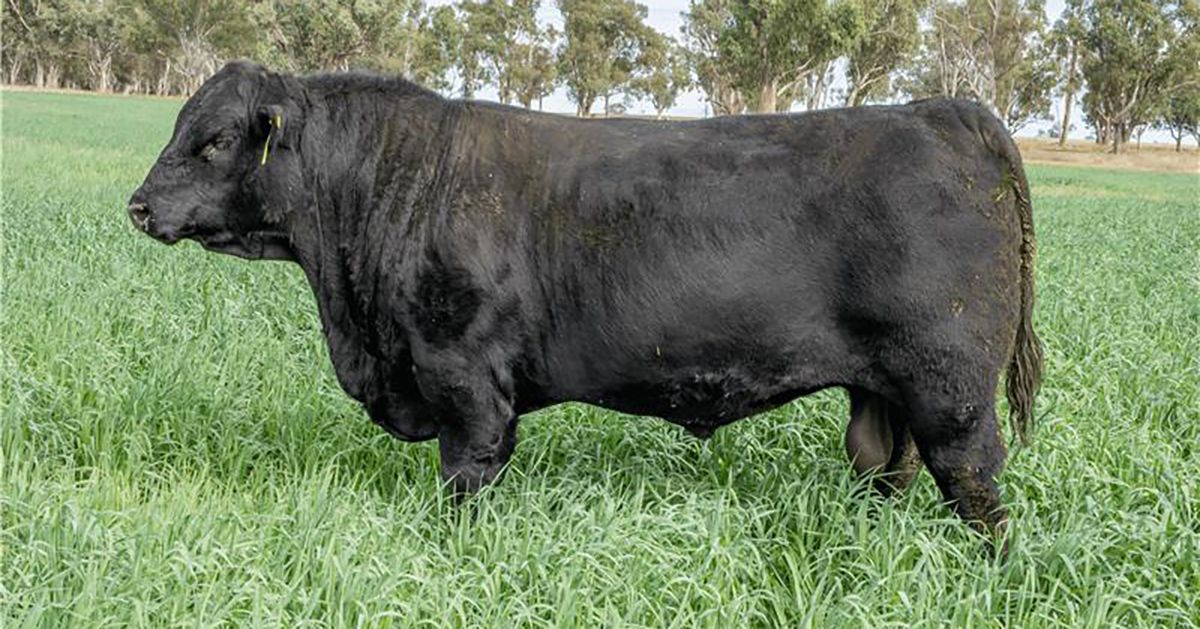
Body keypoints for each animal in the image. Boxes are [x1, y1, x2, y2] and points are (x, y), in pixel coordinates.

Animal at [129, 61, 1043, 549]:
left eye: (214, 139)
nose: (138, 205)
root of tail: (947, 110)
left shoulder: (465, 379)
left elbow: (465, 479)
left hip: (951, 389)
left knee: (974, 484)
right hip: (883, 391)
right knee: (883, 464)